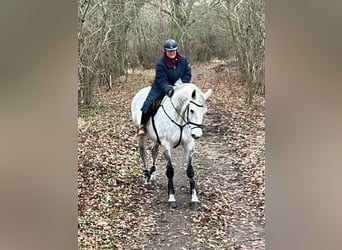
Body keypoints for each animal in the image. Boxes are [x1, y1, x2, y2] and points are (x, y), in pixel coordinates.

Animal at [130, 79, 211, 207]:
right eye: (192, 110)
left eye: (205, 112)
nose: (197, 134)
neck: (180, 118)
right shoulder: (166, 146)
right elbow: (170, 171)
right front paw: (171, 197)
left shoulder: (189, 145)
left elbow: (190, 171)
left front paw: (194, 198)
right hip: (140, 134)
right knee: (143, 153)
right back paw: (147, 179)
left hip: (156, 139)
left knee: (154, 152)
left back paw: (152, 175)